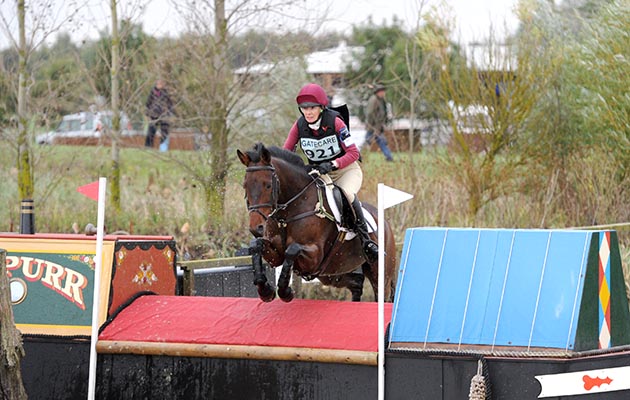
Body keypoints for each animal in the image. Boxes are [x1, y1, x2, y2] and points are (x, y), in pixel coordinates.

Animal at [237, 142, 396, 302]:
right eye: (245, 186)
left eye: (268, 185)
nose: (256, 228)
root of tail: (386, 223)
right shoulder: (276, 255)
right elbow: (256, 245)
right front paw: (265, 290)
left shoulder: (314, 257)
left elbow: (292, 250)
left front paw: (285, 291)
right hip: (336, 274)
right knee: (356, 285)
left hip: (380, 276)